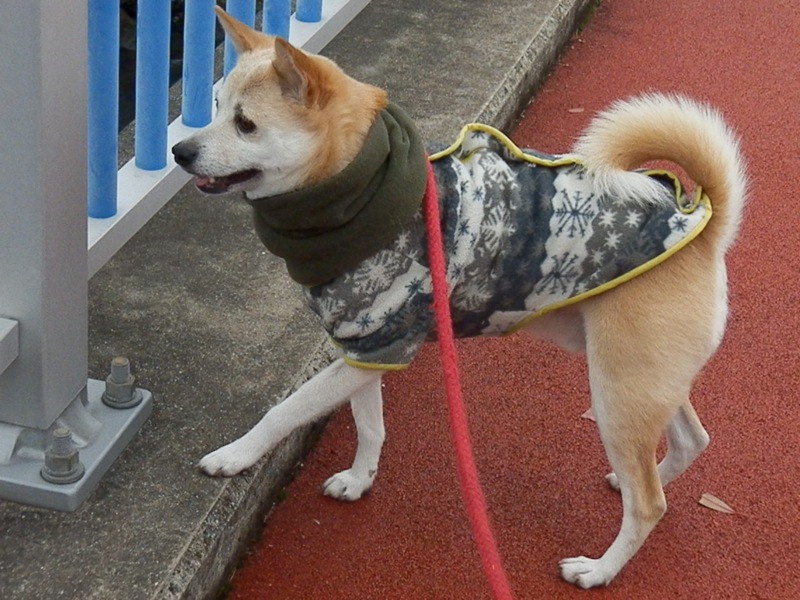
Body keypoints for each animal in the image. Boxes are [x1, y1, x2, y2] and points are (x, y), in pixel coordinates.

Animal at [171, 8, 746, 589]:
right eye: (214, 105)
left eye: (245, 124)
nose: (180, 151)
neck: (361, 194)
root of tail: (702, 223)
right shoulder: (365, 349)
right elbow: (369, 425)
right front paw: (359, 480)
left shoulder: (382, 345)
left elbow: (283, 412)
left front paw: (233, 456)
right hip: (638, 378)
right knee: (690, 441)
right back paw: (634, 481)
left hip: (618, 390)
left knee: (649, 504)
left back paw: (600, 569)